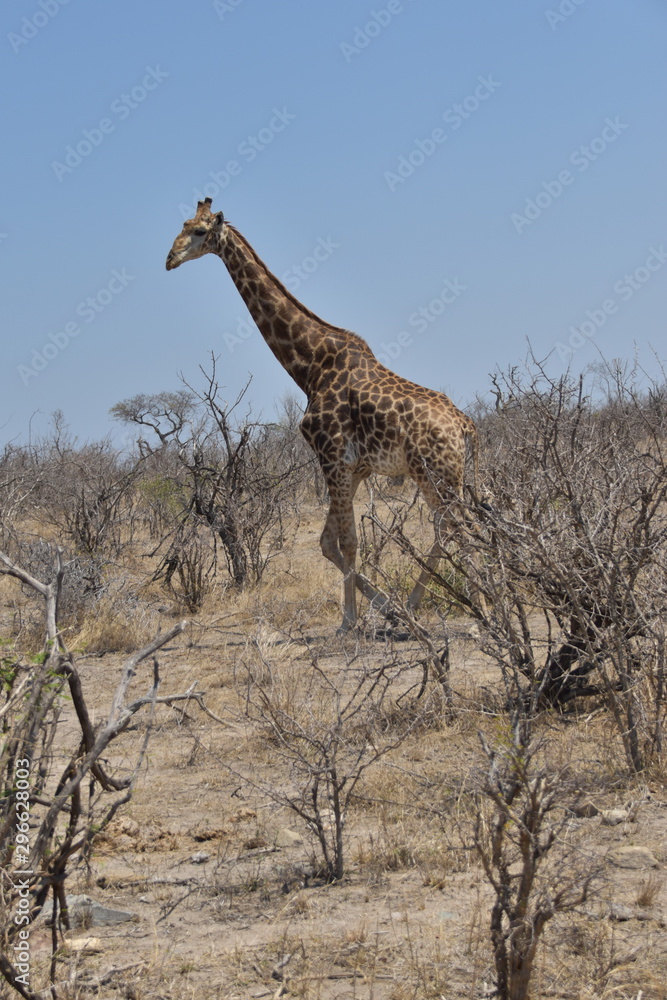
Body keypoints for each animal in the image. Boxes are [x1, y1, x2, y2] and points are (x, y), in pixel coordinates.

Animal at [166, 198, 479, 632]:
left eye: (198, 231)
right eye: (180, 226)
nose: (169, 259)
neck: (309, 366)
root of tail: (464, 425)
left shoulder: (332, 457)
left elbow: (347, 542)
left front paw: (349, 622)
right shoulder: (354, 466)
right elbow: (328, 541)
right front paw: (386, 608)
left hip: (435, 471)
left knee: (461, 527)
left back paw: (481, 612)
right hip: (438, 474)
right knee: (449, 528)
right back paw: (417, 607)